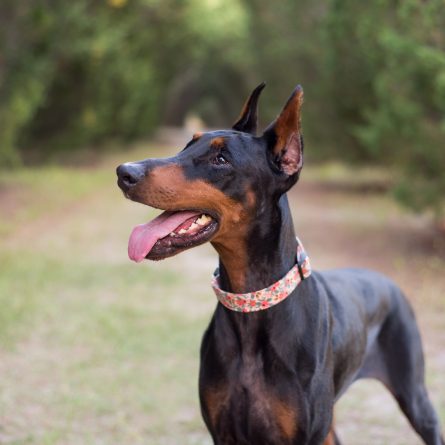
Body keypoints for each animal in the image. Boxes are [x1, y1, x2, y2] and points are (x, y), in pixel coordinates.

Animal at [114, 83, 440, 444]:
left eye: (220, 159)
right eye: (188, 144)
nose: (124, 172)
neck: (252, 305)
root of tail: (386, 280)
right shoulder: (222, 432)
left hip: (414, 395)